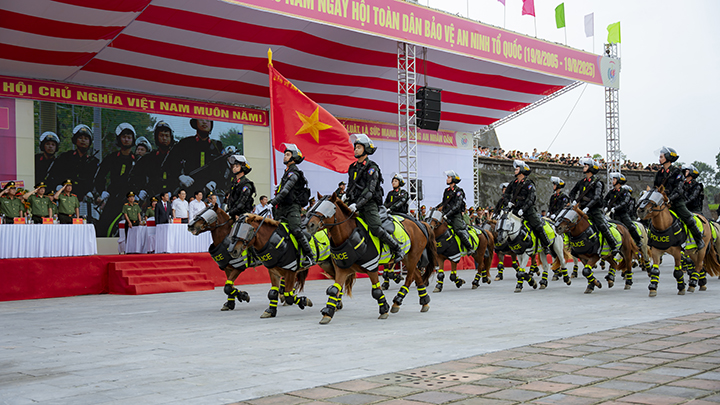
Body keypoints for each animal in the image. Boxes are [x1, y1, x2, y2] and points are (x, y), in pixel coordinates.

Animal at [306, 193, 436, 326]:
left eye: (327, 208)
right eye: (314, 207)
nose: (310, 225)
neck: (348, 235)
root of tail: (419, 222)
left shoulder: (371, 267)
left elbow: (376, 291)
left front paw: (383, 310)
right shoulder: (342, 270)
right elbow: (334, 289)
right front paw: (327, 313)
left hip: (413, 257)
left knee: (409, 278)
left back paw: (398, 300)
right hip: (407, 259)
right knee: (417, 275)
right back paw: (423, 301)